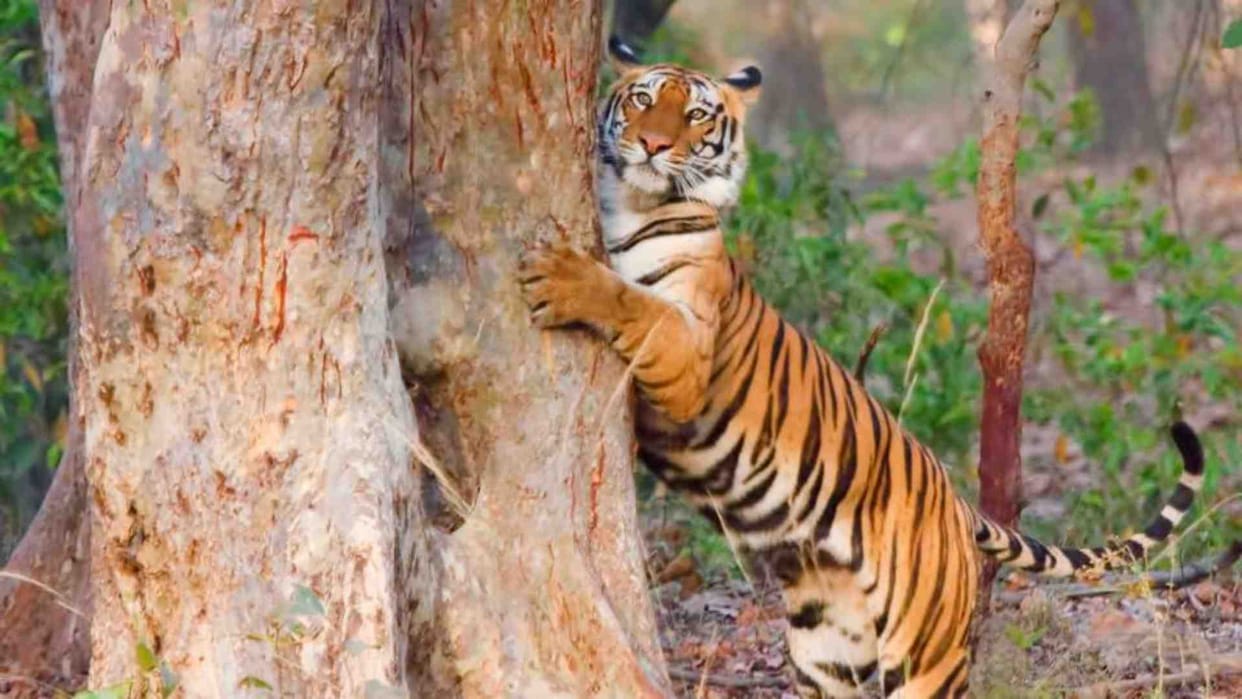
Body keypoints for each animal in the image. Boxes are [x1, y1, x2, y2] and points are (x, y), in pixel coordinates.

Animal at [519, 37, 1208, 698]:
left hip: (925, 651)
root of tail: (960, 508)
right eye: (642, 100)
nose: (653, 145)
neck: (631, 202)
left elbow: (632, 300)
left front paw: (560, 274)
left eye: (694, 116)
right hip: (829, 648)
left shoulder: (688, 350)